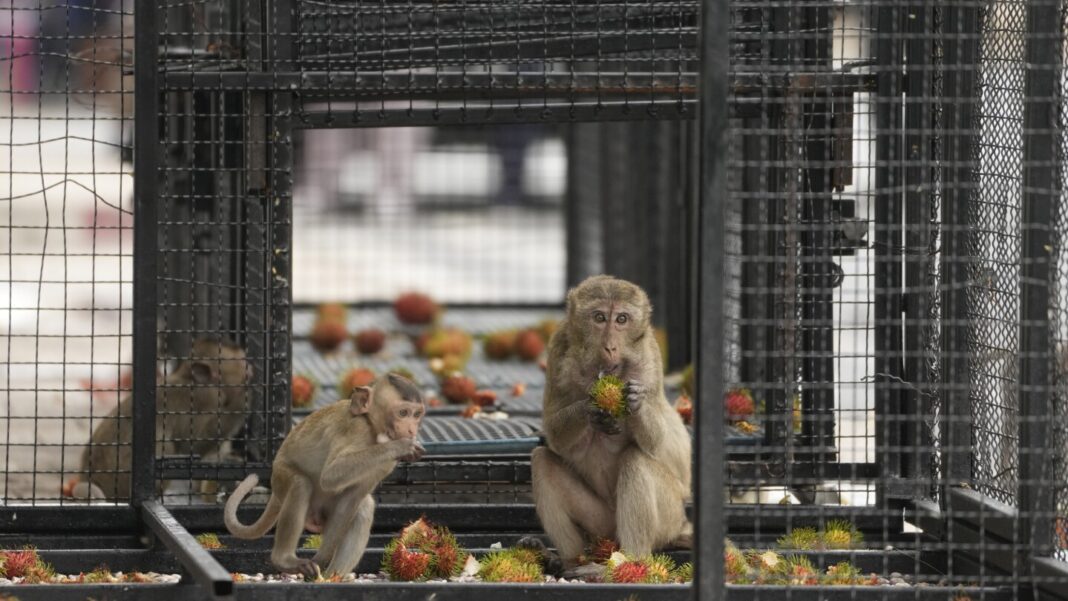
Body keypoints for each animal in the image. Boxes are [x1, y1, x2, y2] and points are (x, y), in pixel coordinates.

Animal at [72, 337, 253, 501]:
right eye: (242, 363)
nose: (250, 367)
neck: (188, 378)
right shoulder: (207, 397)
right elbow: (189, 446)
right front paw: (242, 398)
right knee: (167, 447)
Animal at [224, 373, 426, 578]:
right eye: (403, 413)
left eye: (416, 415)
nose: (412, 430)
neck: (373, 428)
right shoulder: (357, 429)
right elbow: (331, 475)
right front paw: (401, 446)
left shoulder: (386, 464)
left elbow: (353, 495)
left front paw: (322, 559)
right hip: (280, 479)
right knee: (300, 483)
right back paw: (284, 560)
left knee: (363, 507)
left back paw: (333, 577)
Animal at [531, 275, 692, 569]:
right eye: (599, 317)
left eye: (621, 319)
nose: (610, 346)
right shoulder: (558, 349)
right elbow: (555, 435)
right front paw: (590, 408)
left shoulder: (649, 359)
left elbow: (655, 443)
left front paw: (636, 402)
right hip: (601, 524)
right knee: (542, 461)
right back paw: (571, 561)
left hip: (670, 516)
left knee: (636, 460)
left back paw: (632, 562)